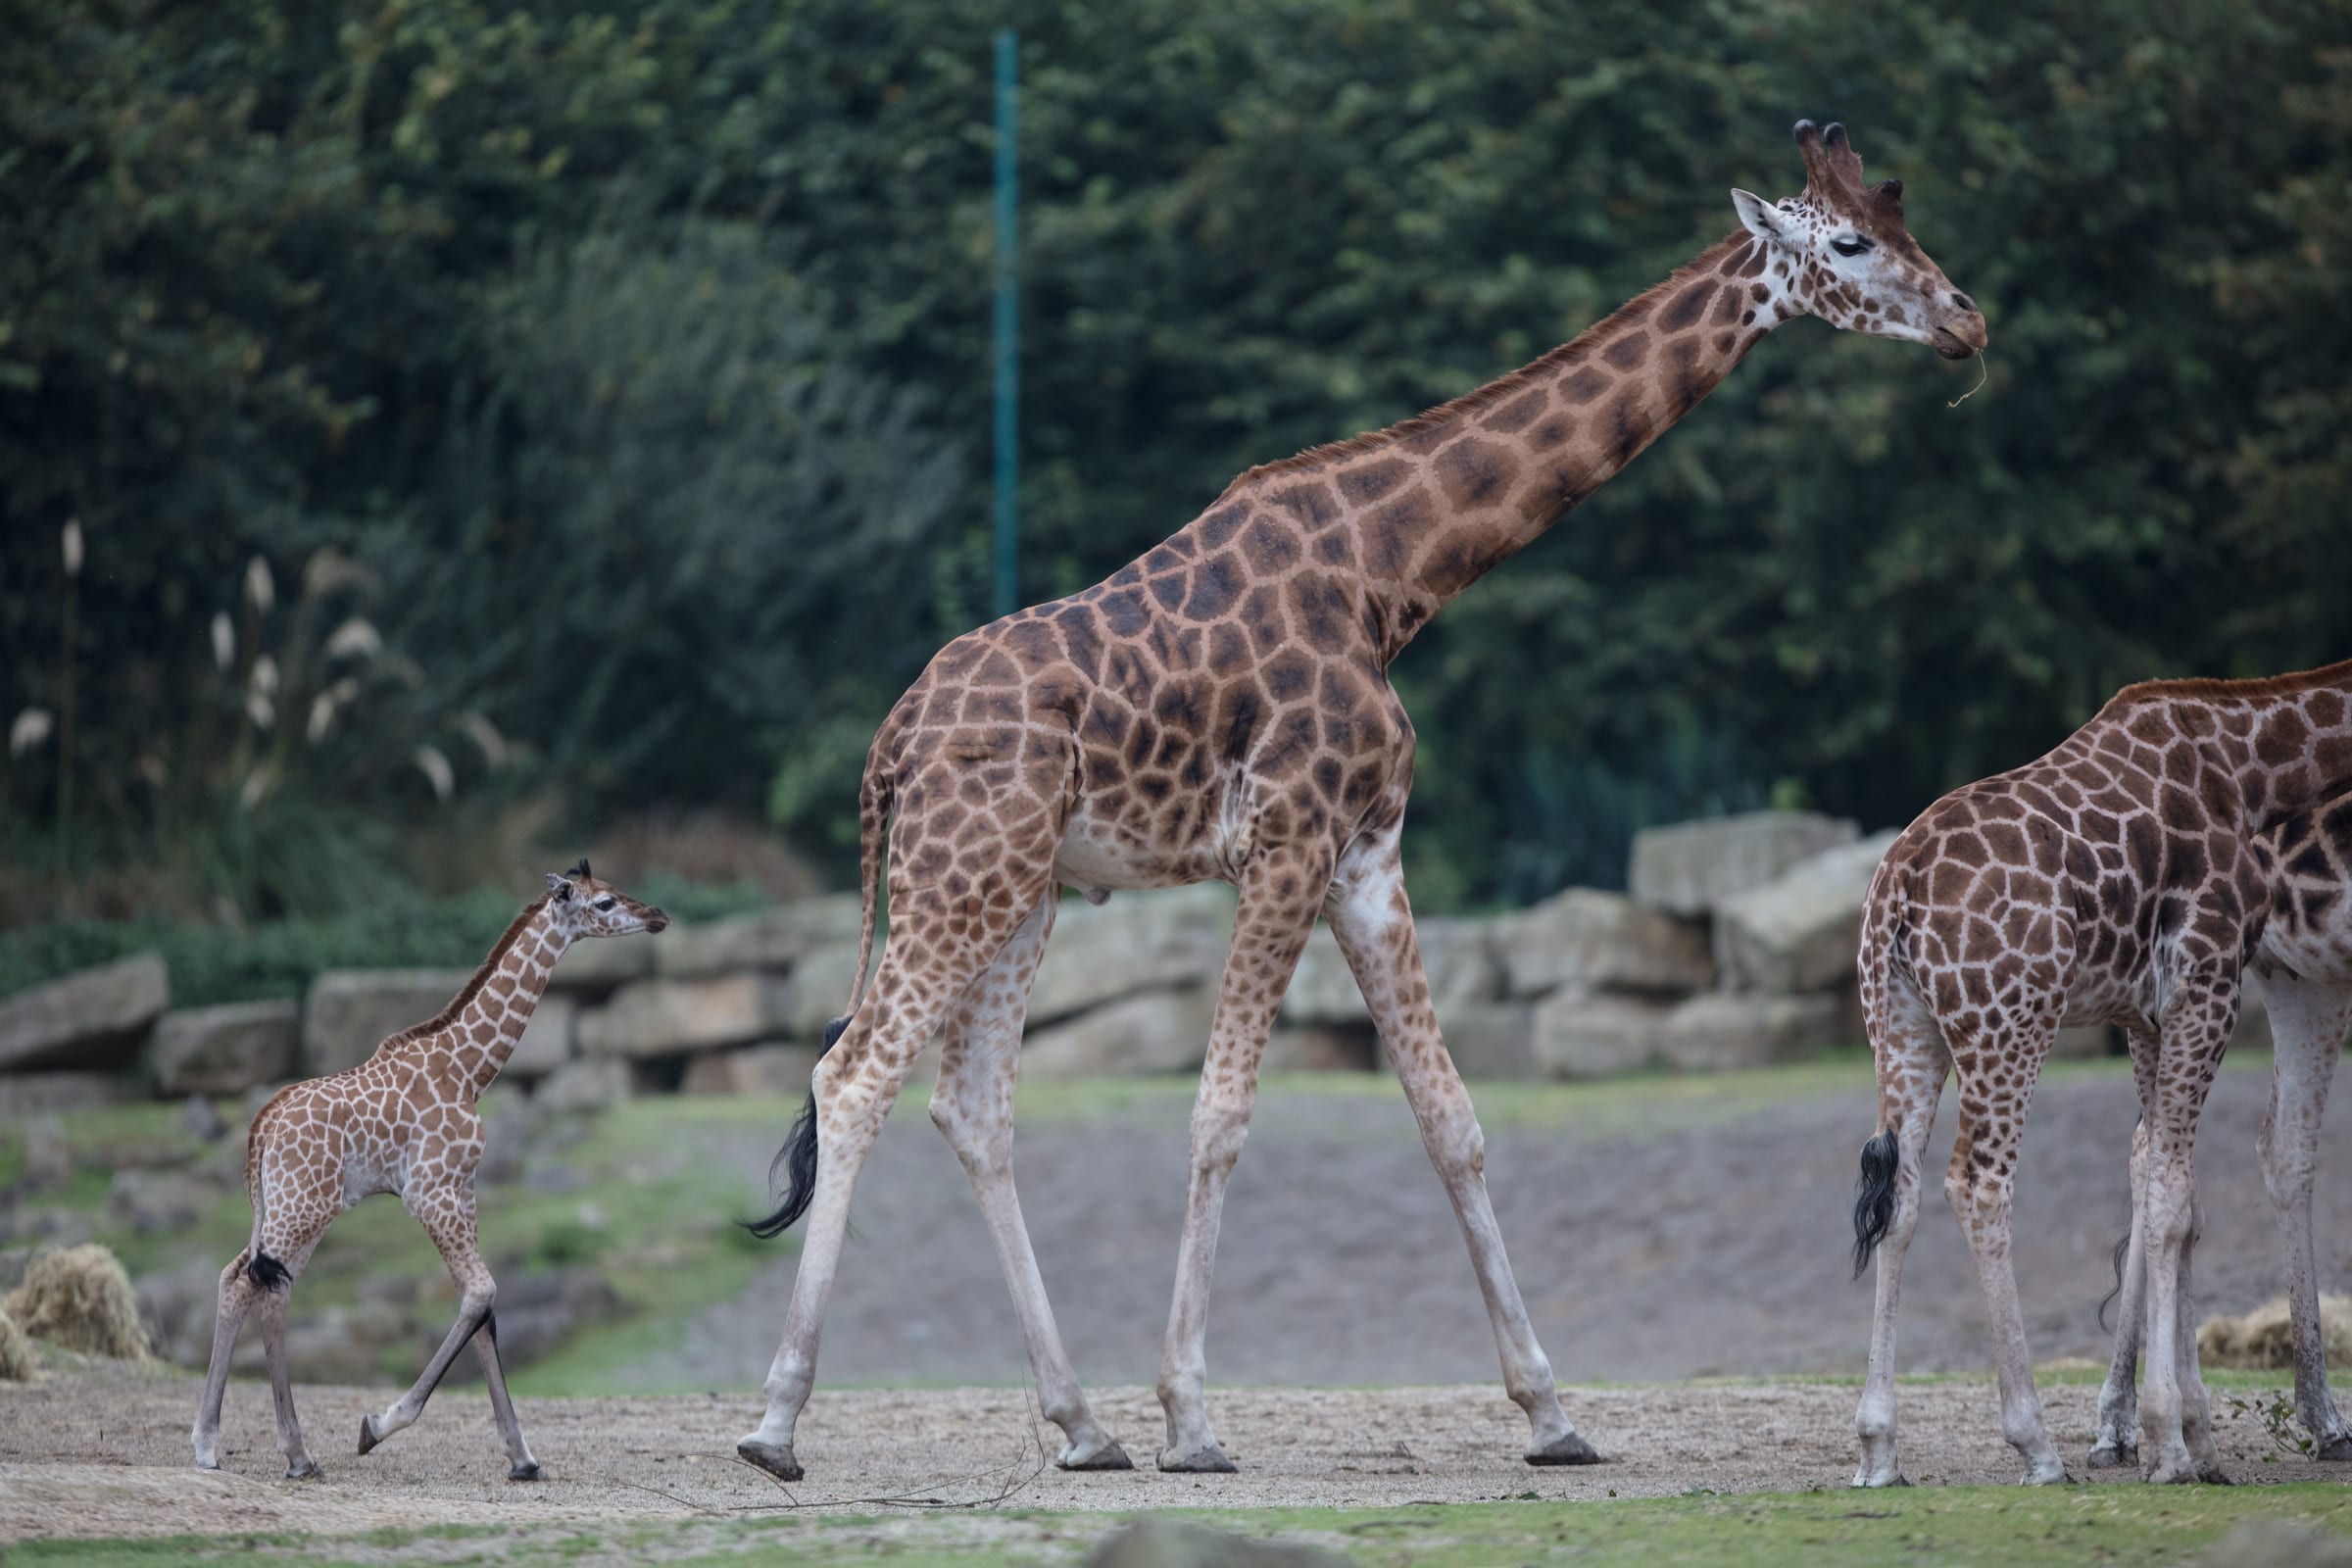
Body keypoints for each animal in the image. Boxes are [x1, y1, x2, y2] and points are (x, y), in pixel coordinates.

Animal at [190, 860, 666, 1480]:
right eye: (604, 902)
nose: (657, 916)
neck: (468, 1068)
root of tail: (262, 1127)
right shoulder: (429, 1190)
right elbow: (481, 1292)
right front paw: (376, 1426)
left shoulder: (462, 1190)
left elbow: (482, 1305)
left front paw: (522, 1457)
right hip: (303, 1206)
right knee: (253, 1284)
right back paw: (249, 1450)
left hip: (299, 1205)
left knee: (249, 1282)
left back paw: (263, 1451)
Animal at [733, 118, 1987, 1483]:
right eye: (1852, 242)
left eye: (1913, 227)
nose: (1967, 320)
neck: (1395, 574)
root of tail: (892, 742)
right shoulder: (1288, 839)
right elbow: (1221, 1114)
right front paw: (1193, 1422)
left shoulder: (1368, 854)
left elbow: (1452, 1118)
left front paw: (1552, 1415)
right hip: (962, 876)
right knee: (855, 1072)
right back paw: (778, 1425)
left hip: (1021, 890)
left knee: (972, 1106)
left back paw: (1080, 1426)